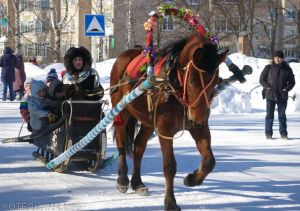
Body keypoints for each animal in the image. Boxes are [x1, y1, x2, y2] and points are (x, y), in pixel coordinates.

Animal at [110, 33, 227, 209]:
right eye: (192, 81)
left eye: (215, 82)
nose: (197, 118)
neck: (172, 86)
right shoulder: (164, 130)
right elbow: (170, 166)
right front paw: (170, 202)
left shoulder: (199, 128)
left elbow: (209, 161)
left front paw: (192, 179)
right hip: (122, 112)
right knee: (121, 142)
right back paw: (122, 179)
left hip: (148, 122)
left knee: (139, 147)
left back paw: (137, 183)